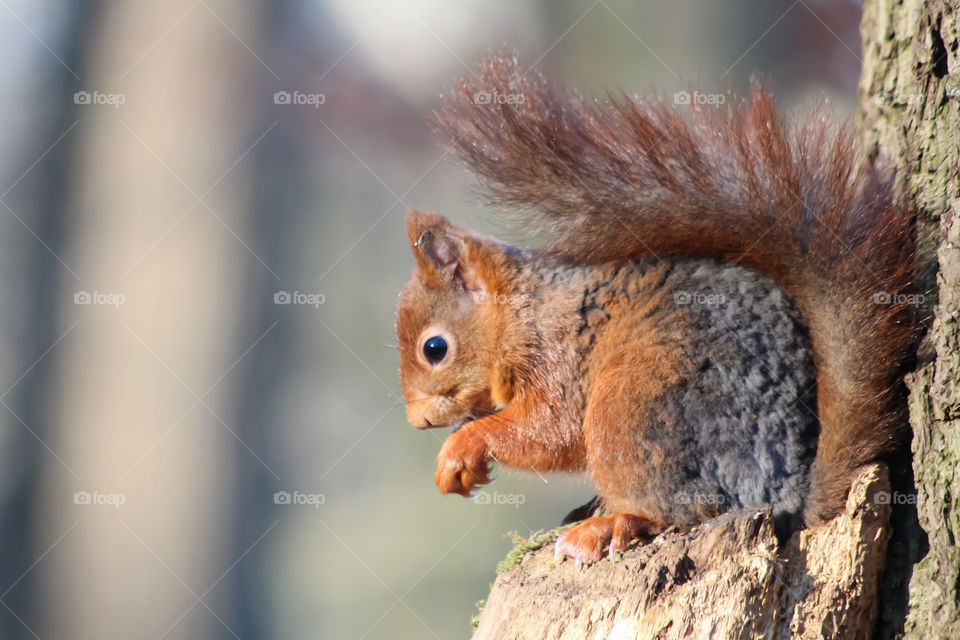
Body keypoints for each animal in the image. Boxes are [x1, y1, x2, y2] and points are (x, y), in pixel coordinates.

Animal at [395, 52, 916, 564]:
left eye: (434, 348)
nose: (418, 422)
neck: (524, 311)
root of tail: (785, 492)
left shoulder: (557, 359)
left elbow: (551, 430)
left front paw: (462, 449)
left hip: (633, 404)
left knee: (683, 507)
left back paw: (608, 526)